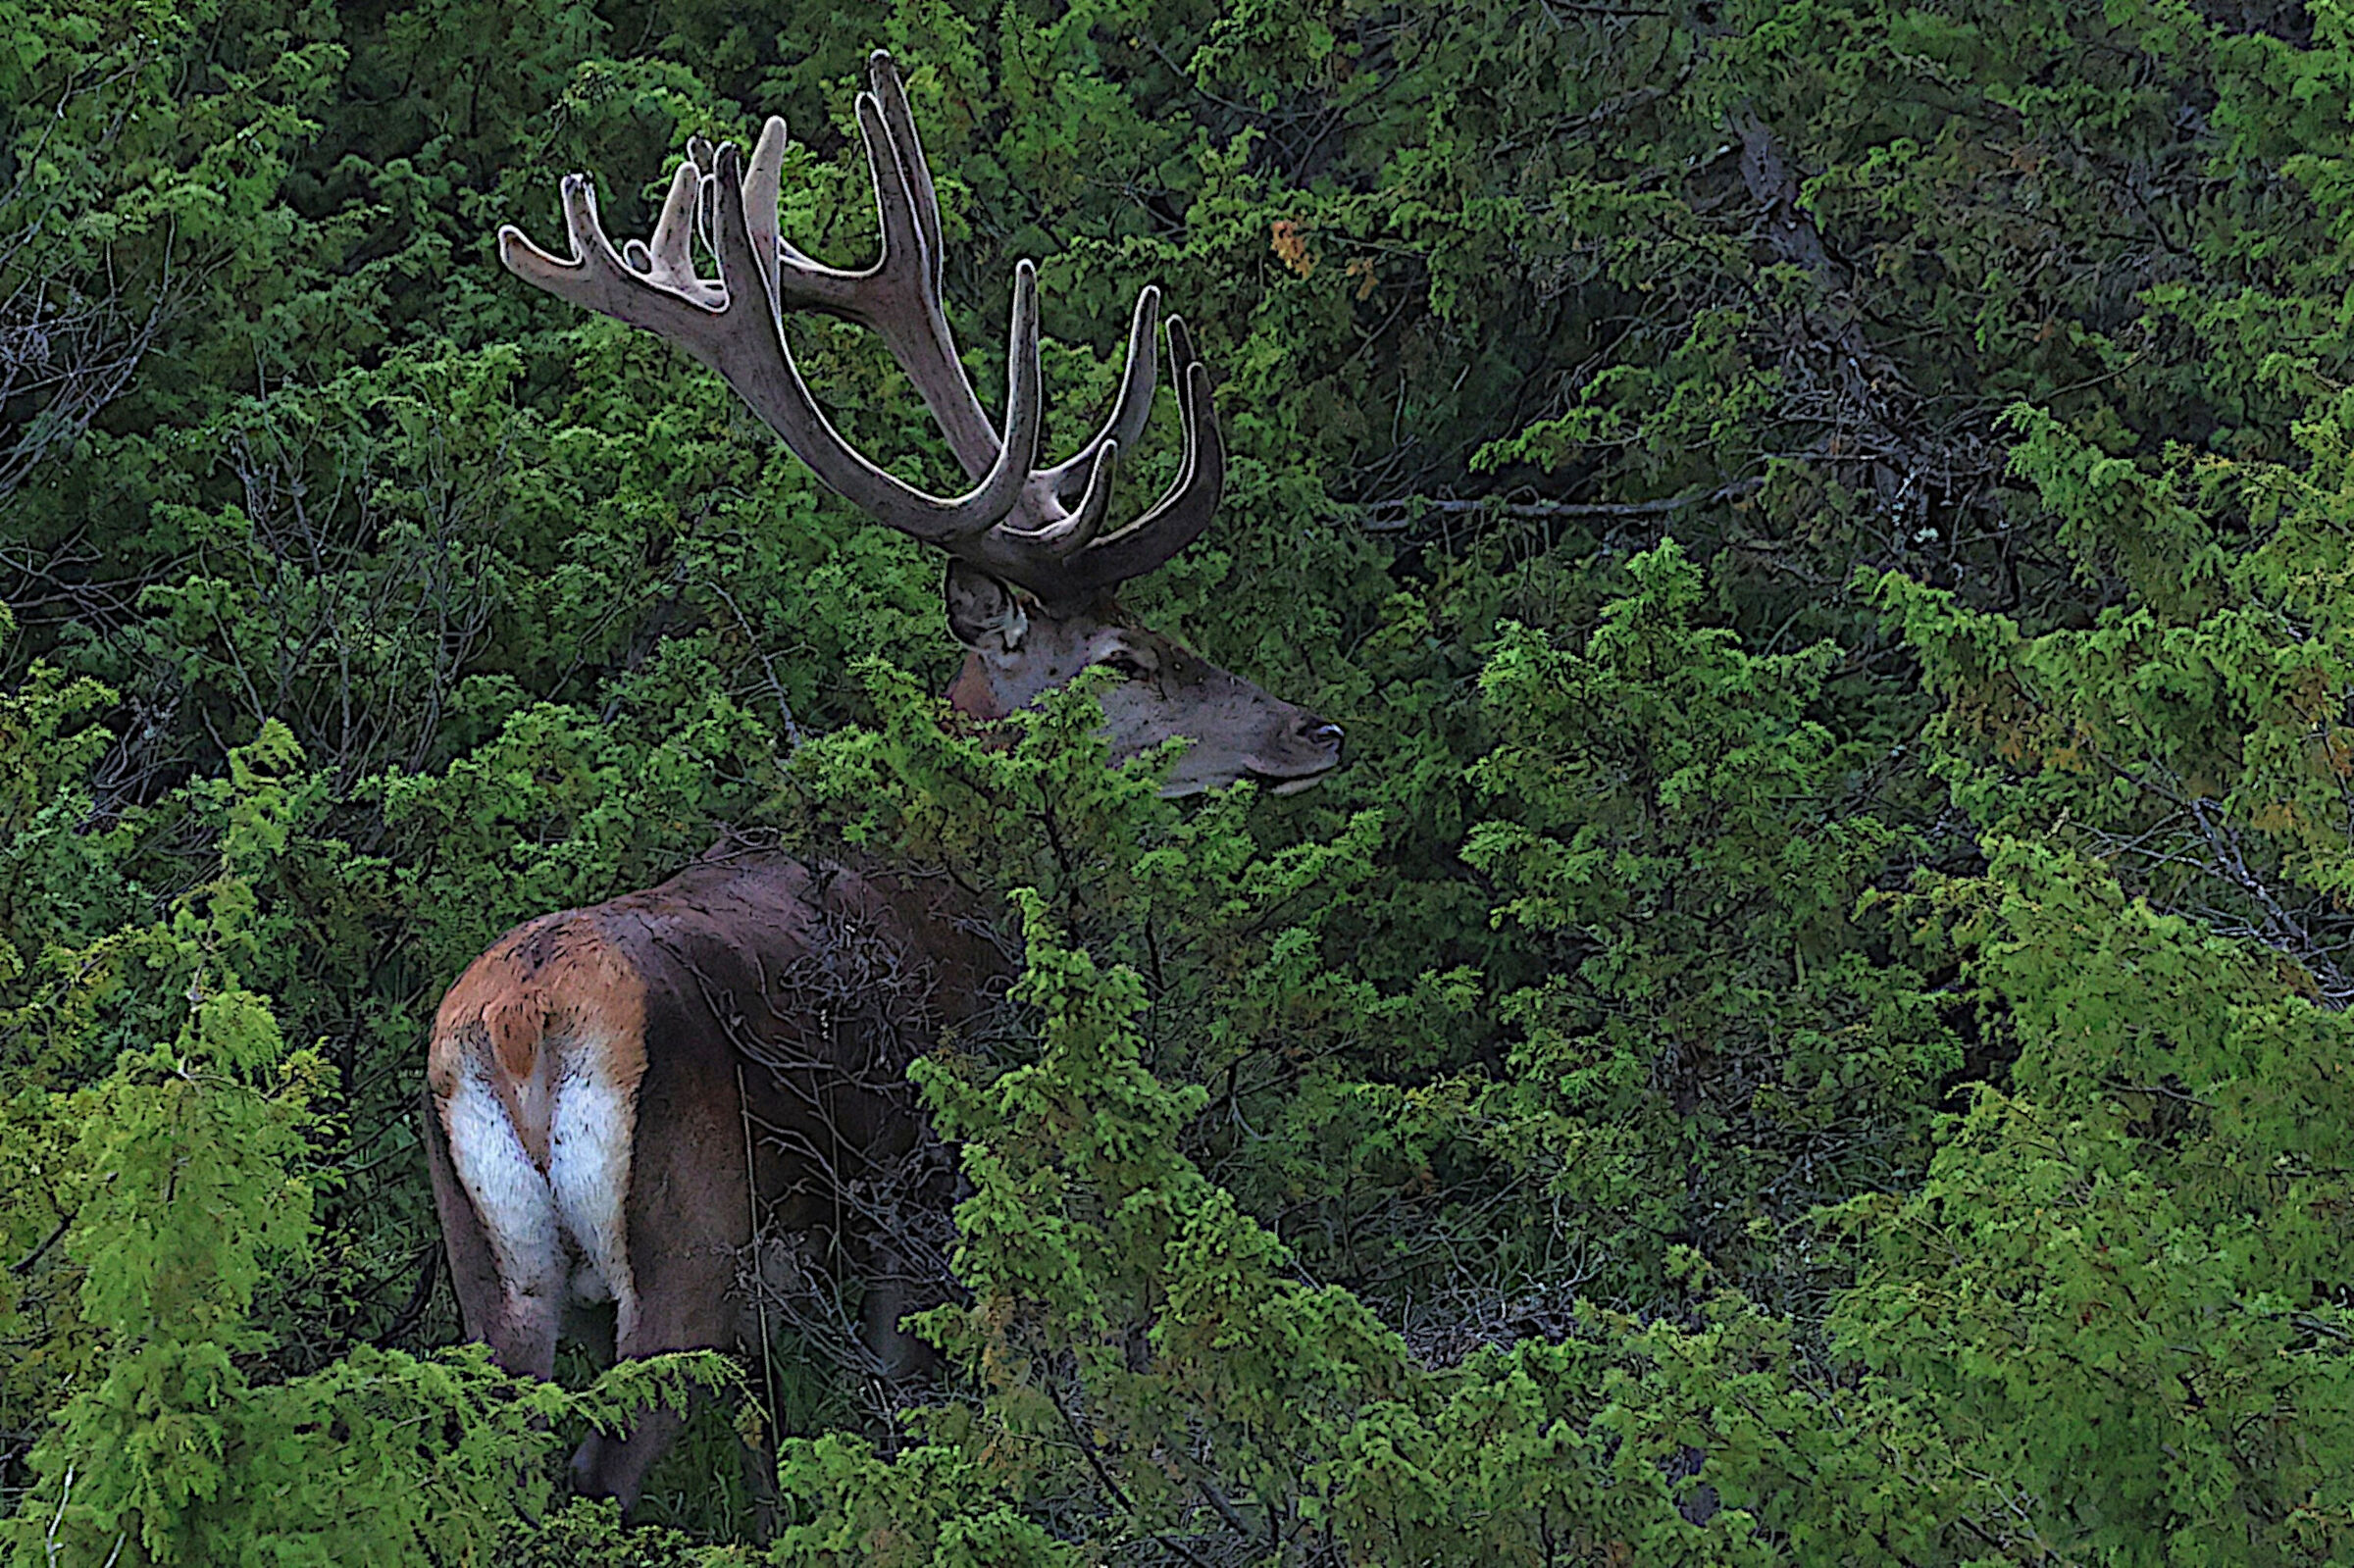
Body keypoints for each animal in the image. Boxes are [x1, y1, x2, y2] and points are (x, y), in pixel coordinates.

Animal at [422, 51, 1344, 1518]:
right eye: (1127, 656)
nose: (1313, 730)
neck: (962, 885)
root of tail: (516, 1032)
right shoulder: (922, 1180)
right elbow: (917, 1400)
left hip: (491, 1274)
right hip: (694, 1235)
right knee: (615, 1450)